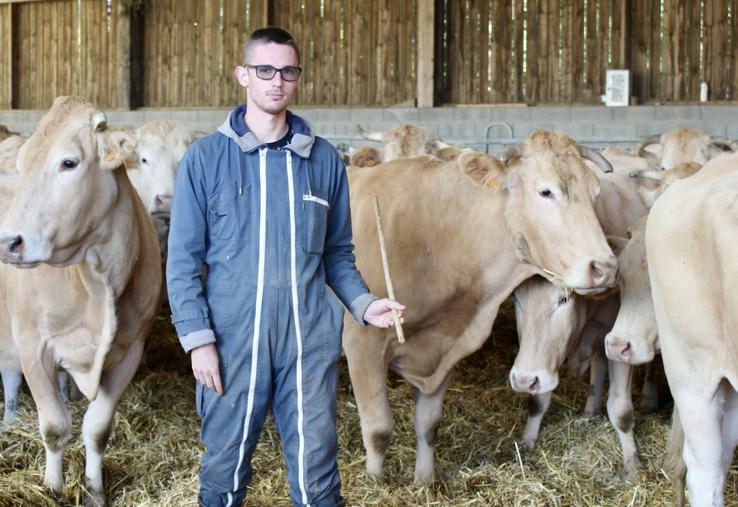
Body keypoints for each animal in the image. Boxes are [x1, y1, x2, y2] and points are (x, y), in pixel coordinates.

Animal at [0, 96, 161, 507]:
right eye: (24, 163)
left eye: (69, 162)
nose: (9, 242)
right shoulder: (32, 345)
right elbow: (54, 426)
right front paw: (53, 488)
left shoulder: (130, 350)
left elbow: (97, 428)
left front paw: (94, 490)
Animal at [342, 129, 620, 482]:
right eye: (546, 191)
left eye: (596, 193)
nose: (606, 268)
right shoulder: (363, 345)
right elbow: (378, 429)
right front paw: (376, 483)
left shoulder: (446, 346)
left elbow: (428, 425)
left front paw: (425, 481)